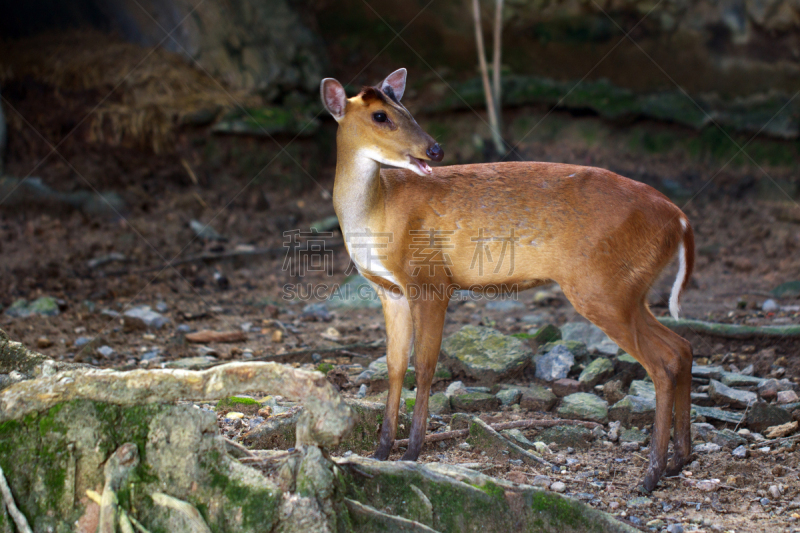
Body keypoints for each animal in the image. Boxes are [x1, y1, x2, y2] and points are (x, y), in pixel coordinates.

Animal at [318, 67, 692, 490]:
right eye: (381, 116)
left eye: (406, 110)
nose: (435, 150)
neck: (378, 213)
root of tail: (680, 219)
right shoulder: (390, 290)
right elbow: (394, 367)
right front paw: (381, 451)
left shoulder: (431, 281)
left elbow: (425, 366)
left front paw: (412, 452)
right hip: (627, 289)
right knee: (680, 349)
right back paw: (678, 459)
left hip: (601, 287)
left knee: (661, 363)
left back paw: (651, 473)